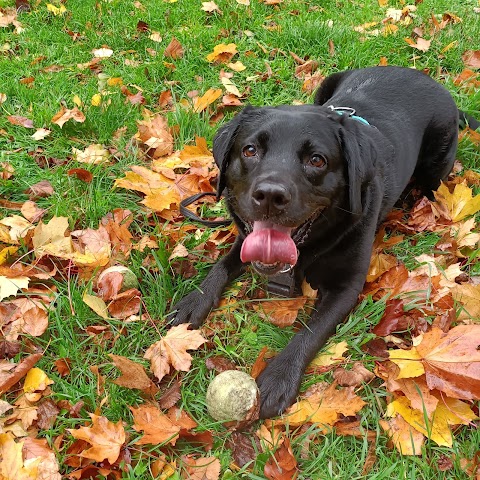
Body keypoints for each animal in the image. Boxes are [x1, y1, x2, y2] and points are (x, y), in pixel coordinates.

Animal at [168, 65, 476, 418]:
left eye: (317, 160)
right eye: (250, 150)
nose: (270, 195)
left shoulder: (346, 287)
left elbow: (311, 331)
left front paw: (280, 376)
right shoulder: (246, 239)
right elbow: (221, 265)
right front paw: (194, 301)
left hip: (435, 167)